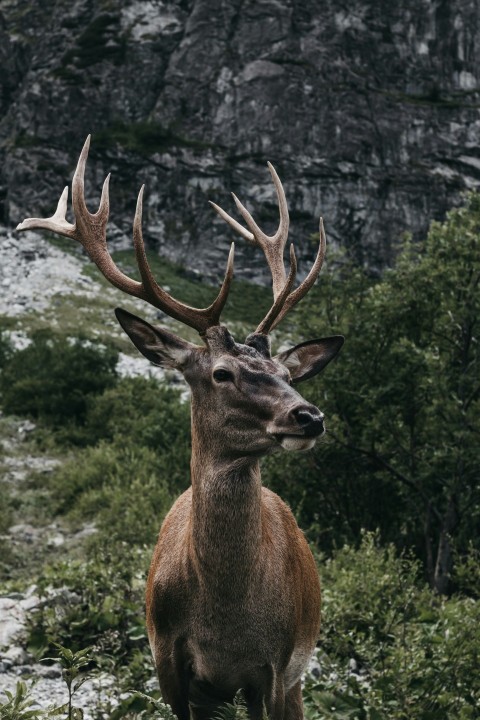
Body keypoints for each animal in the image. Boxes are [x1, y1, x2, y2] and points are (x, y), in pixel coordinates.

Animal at [16, 136, 344, 720]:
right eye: (222, 373)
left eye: (286, 374)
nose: (309, 416)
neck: (225, 621)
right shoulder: (167, 658)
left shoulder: (274, 667)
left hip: (297, 677)